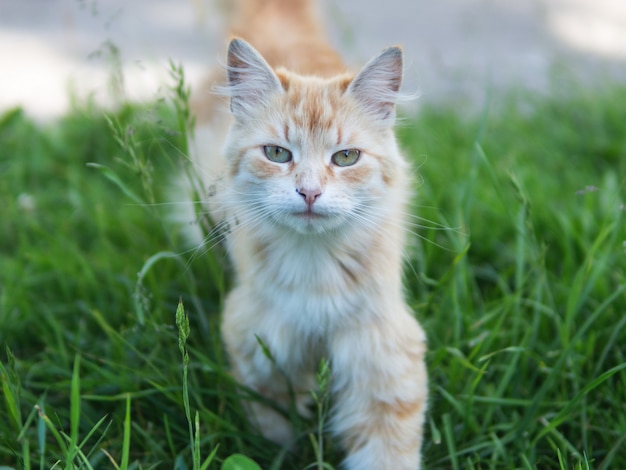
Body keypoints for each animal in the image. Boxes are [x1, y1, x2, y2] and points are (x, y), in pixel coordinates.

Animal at [185, 0, 426, 470]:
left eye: (346, 157)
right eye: (277, 153)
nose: (310, 192)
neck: (315, 268)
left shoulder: (383, 355)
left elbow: (386, 451)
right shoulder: (259, 342)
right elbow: (273, 428)